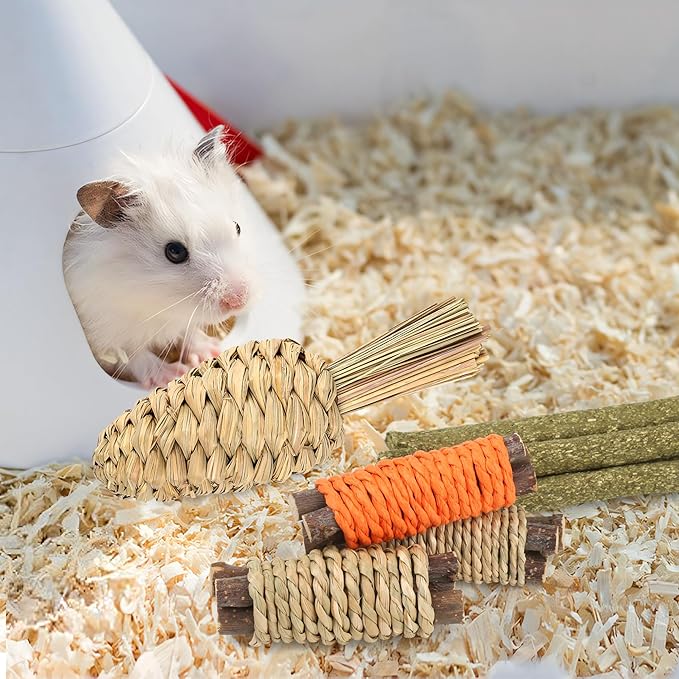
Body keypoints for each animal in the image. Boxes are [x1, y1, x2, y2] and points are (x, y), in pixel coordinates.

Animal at [63, 126, 257, 390]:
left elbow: (188, 332)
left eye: (237, 227)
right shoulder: (102, 331)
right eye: (174, 252)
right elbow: (134, 356)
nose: (239, 300)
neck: (159, 303)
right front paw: (171, 375)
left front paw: (211, 351)